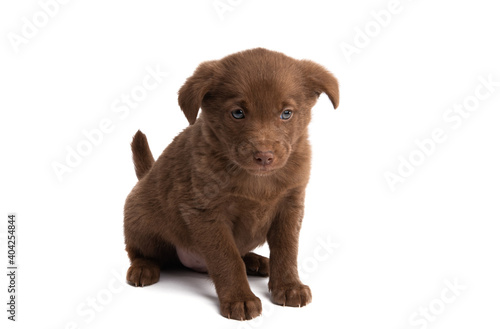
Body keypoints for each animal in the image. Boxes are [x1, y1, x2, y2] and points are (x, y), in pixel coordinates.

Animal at [124, 47, 340, 320]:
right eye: (238, 113)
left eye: (286, 113)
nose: (264, 156)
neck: (257, 181)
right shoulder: (206, 213)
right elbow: (227, 258)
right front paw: (240, 299)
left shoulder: (291, 205)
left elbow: (287, 250)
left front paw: (289, 286)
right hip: (140, 220)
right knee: (139, 251)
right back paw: (143, 268)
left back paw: (257, 261)